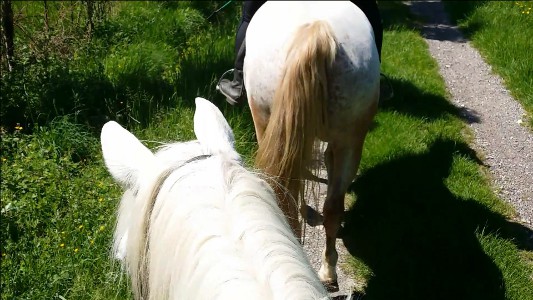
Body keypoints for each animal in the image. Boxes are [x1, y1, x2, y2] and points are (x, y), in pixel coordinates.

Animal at [242, 1, 378, 286]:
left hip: (267, 123)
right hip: (348, 139)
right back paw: (327, 270)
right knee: (331, 207)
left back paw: (325, 268)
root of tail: (316, 33)